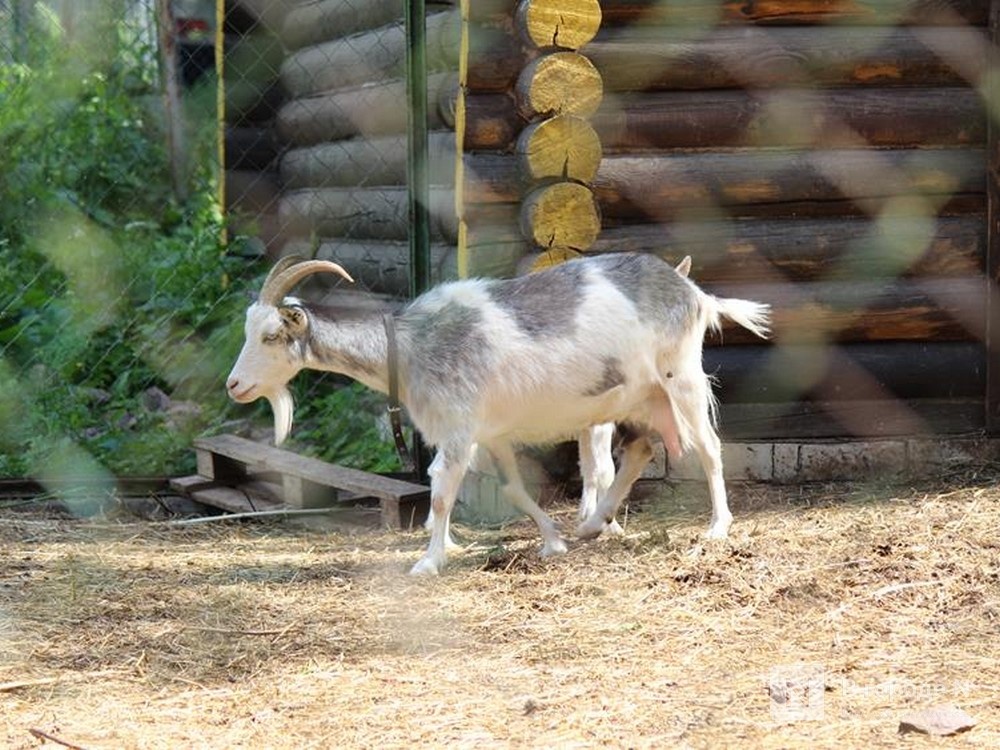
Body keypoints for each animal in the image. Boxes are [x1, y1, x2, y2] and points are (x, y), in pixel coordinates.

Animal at [229, 253, 772, 576]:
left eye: (271, 335)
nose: (235, 385)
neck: (410, 345)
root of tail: (693, 293)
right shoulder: (488, 434)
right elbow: (513, 488)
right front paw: (553, 542)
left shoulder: (457, 431)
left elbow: (442, 492)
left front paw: (430, 561)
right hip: (633, 399)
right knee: (637, 451)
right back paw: (593, 524)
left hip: (680, 377)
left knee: (708, 448)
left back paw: (717, 527)